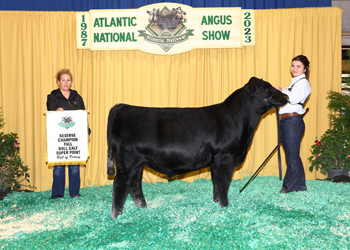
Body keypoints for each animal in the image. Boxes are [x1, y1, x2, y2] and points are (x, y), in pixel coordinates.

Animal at [106, 76, 288, 219]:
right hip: (127, 162)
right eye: (264, 88)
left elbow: (216, 185)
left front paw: (216, 205)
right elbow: (223, 185)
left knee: (134, 186)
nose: (286, 95)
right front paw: (225, 208)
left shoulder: (216, 162)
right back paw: (116, 218)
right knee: (120, 186)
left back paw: (142, 210)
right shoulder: (226, 158)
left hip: (138, 163)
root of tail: (122, 106)